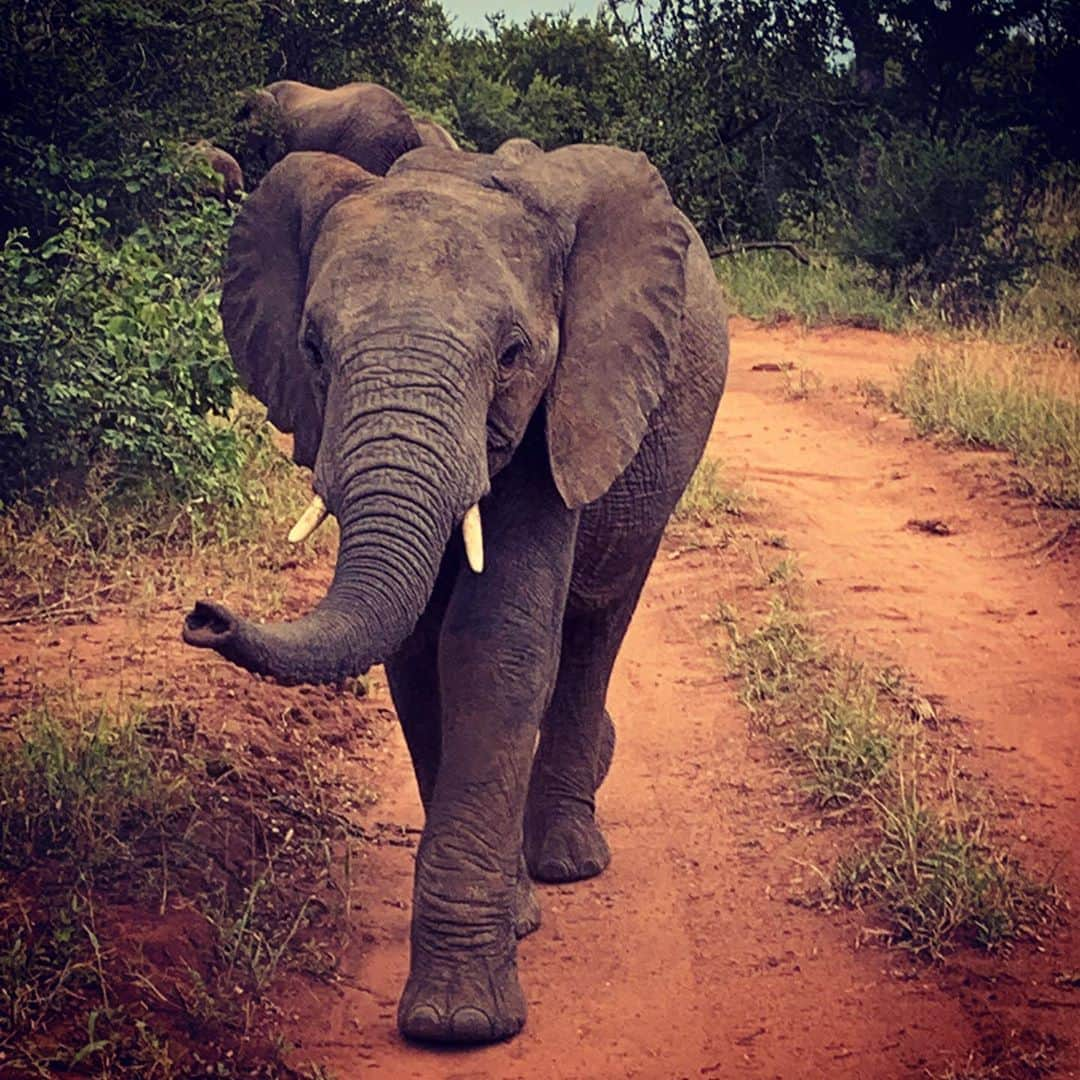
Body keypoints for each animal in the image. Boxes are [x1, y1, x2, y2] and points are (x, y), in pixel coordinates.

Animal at [183, 139, 725, 1041]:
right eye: (313, 349)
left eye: (511, 355)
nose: (203, 616)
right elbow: (415, 652)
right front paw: (509, 927)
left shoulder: (558, 406)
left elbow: (493, 646)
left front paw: (461, 1024)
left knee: (597, 624)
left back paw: (568, 858)